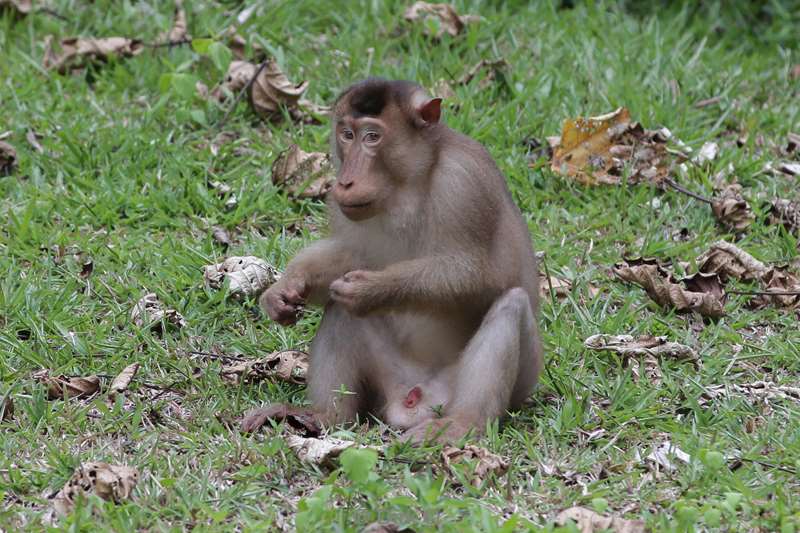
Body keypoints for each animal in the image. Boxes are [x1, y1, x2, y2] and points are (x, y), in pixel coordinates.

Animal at [244, 77, 544, 442]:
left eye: (373, 136)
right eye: (347, 134)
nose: (346, 180)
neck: (408, 184)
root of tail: (415, 399)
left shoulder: (466, 181)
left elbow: (479, 274)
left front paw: (372, 290)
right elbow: (349, 254)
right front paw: (286, 287)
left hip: (508, 383)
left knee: (511, 305)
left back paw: (462, 423)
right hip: (388, 380)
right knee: (340, 310)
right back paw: (323, 416)